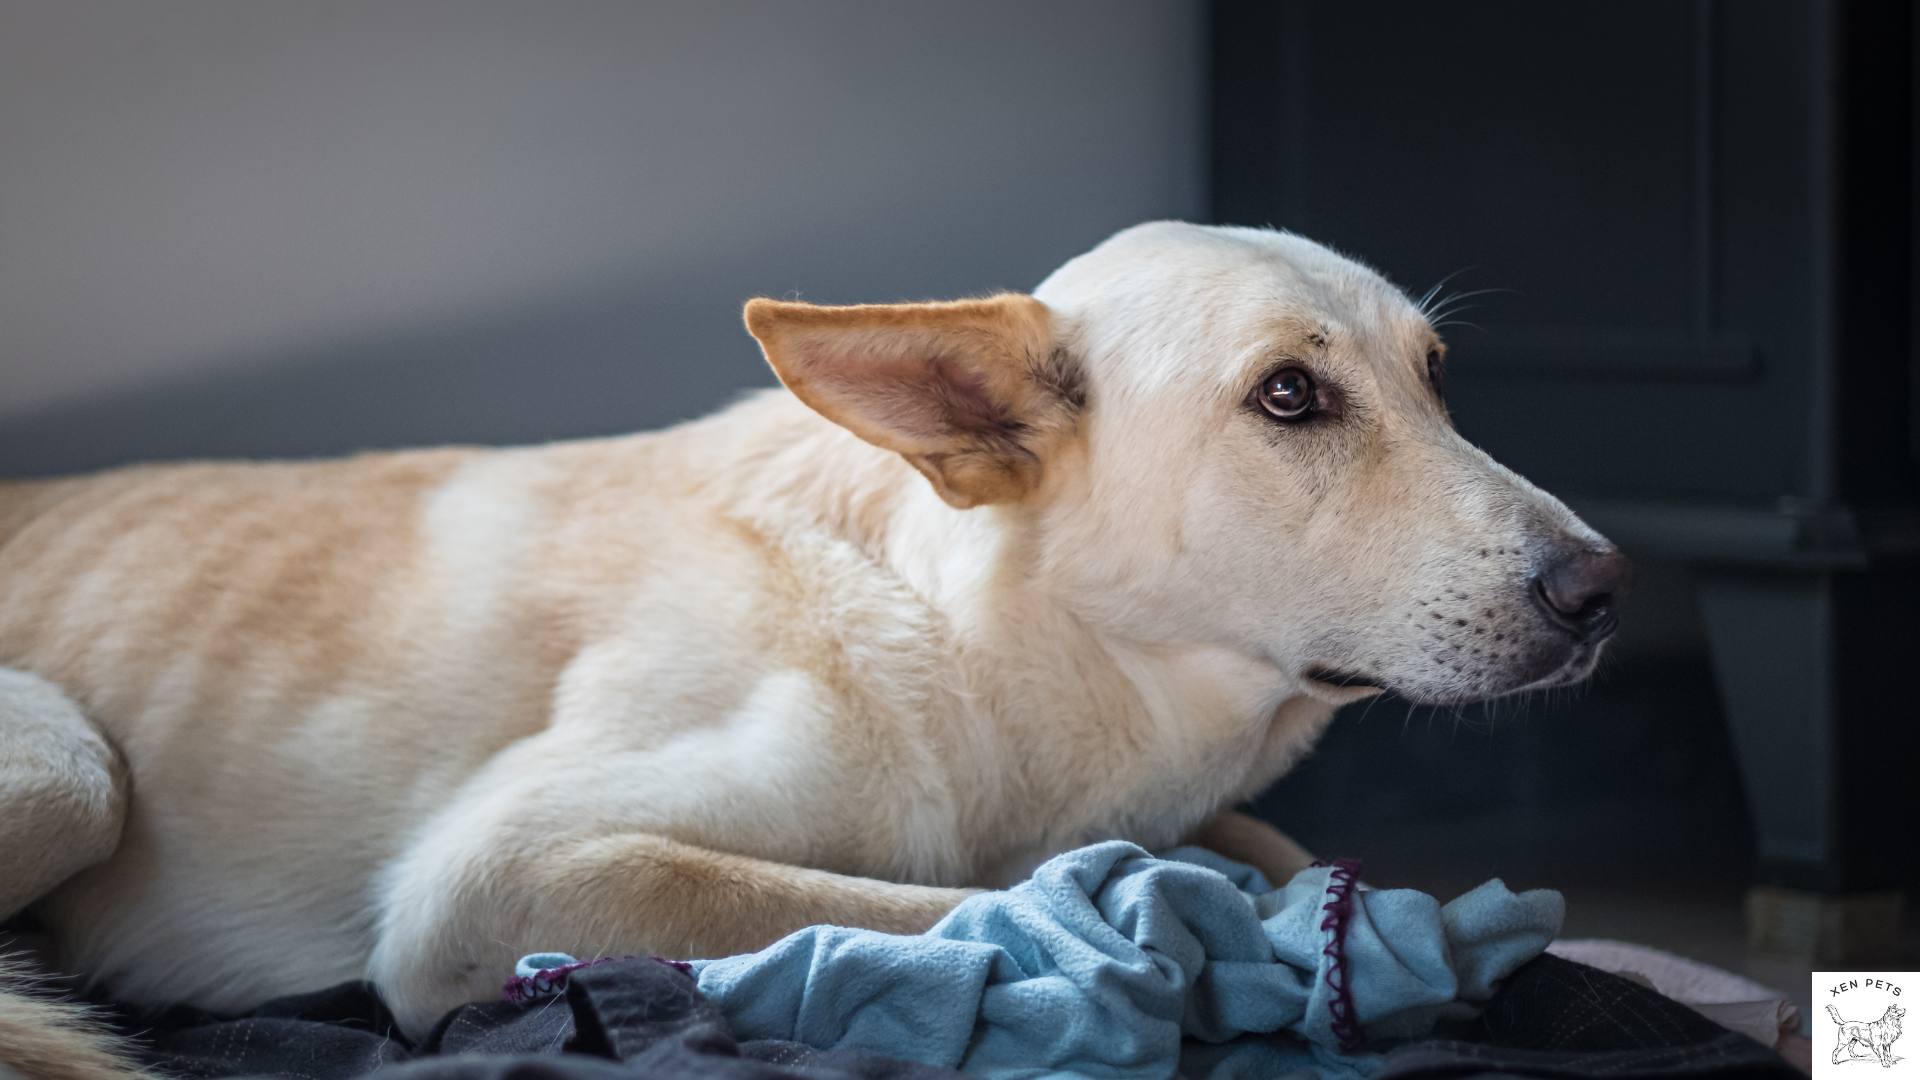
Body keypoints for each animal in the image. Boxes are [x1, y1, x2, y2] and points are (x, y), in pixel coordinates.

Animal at [0, 220, 1628, 1068]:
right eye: (1291, 396)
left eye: (1437, 379)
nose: (1605, 587)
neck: (982, 642)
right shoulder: (497, 879)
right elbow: (944, 901)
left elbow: (1265, 848)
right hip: (75, 768)